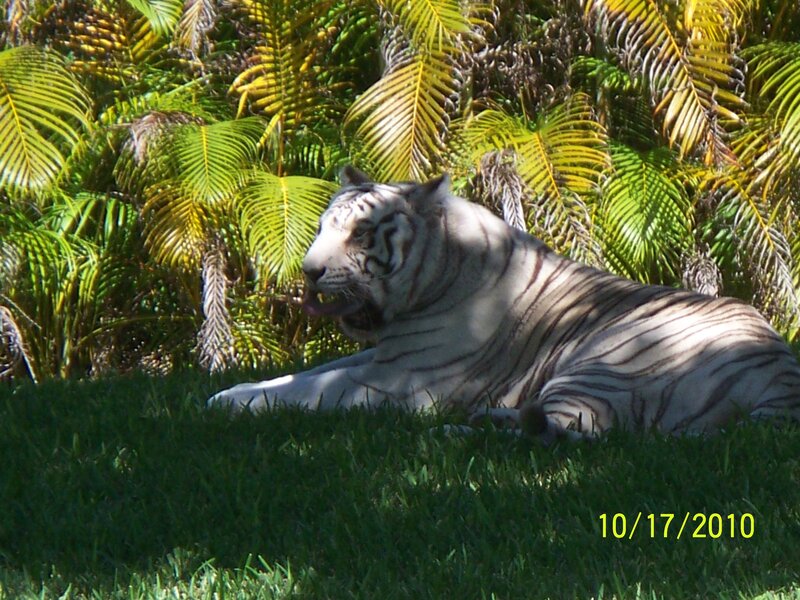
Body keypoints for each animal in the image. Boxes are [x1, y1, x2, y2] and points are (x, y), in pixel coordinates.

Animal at [208, 166, 800, 442]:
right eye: (321, 228)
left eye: (359, 233)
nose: (308, 272)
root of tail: (782, 382)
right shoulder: (379, 355)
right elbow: (302, 374)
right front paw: (231, 391)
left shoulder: (396, 378)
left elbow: (311, 388)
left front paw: (227, 404)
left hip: (608, 361)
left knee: (572, 430)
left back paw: (459, 431)